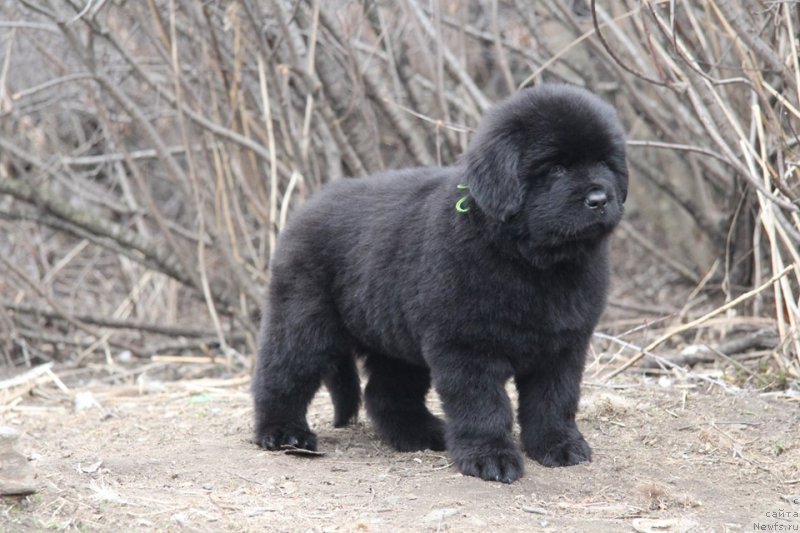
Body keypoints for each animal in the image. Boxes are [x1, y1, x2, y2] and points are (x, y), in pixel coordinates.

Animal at [253, 83, 628, 482]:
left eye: (606, 163)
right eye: (556, 168)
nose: (599, 198)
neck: (532, 262)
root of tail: (308, 206)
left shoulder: (564, 344)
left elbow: (555, 399)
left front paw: (559, 445)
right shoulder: (466, 344)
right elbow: (483, 404)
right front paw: (490, 457)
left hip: (394, 336)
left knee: (387, 394)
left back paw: (421, 433)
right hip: (304, 316)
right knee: (282, 373)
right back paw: (284, 433)